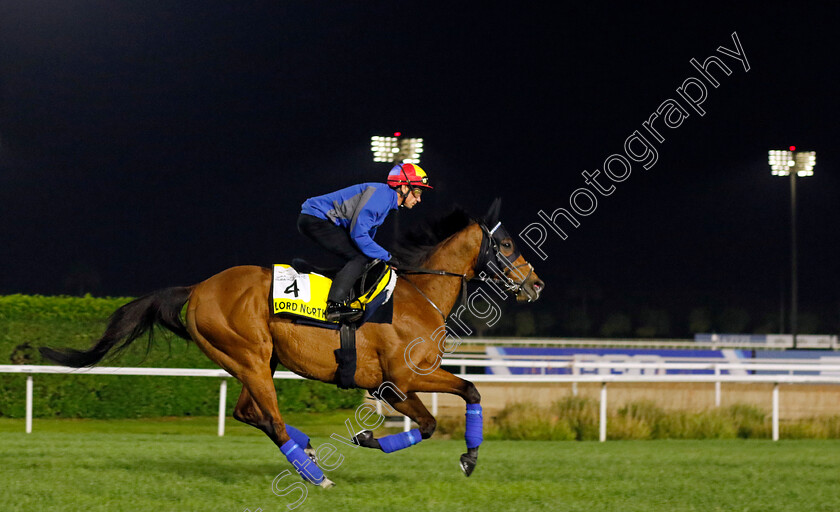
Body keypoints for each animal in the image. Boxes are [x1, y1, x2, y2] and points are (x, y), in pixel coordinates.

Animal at [41, 199, 544, 488]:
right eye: (507, 245)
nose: (535, 284)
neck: (418, 295)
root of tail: (199, 288)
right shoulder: (400, 380)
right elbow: (440, 415)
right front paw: (456, 455)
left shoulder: (397, 382)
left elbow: (454, 404)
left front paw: (460, 455)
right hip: (249, 358)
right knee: (272, 420)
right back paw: (315, 475)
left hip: (255, 362)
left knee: (251, 413)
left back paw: (308, 450)